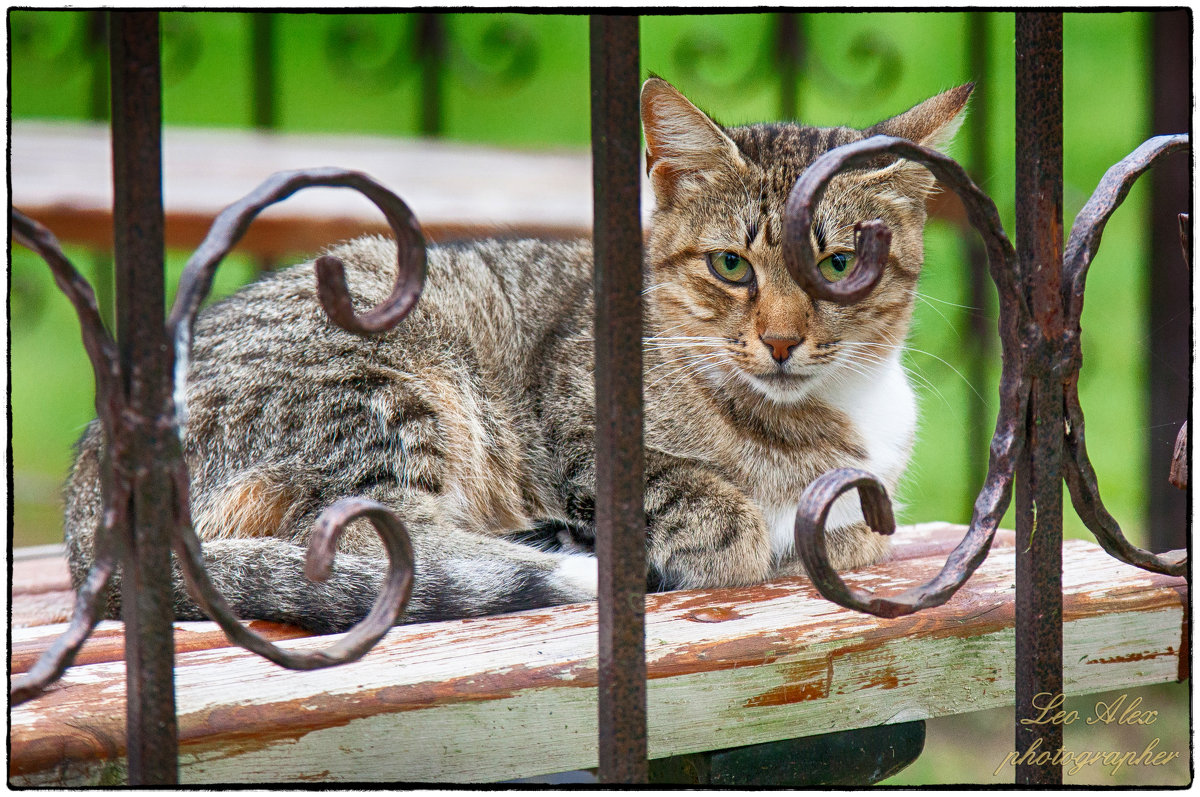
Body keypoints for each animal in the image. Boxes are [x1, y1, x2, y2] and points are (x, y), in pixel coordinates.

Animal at [60, 78, 969, 633]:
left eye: (840, 265)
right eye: (731, 265)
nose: (781, 340)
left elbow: (860, 531)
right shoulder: (582, 430)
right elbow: (715, 506)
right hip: (389, 388)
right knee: (375, 547)